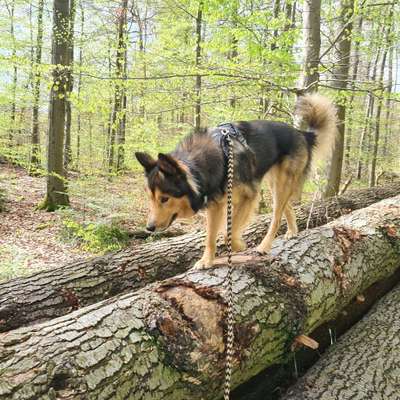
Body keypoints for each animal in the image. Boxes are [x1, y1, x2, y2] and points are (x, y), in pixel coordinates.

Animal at [135, 94, 338, 268]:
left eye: (164, 198)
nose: (149, 228)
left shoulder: (249, 196)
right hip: (274, 183)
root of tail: (303, 134)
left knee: (276, 216)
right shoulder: (216, 205)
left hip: (282, 183)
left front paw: (239, 245)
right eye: (150, 198)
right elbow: (210, 237)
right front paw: (207, 260)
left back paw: (264, 246)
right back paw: (292, 231)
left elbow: (227, 233)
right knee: (285, 207)